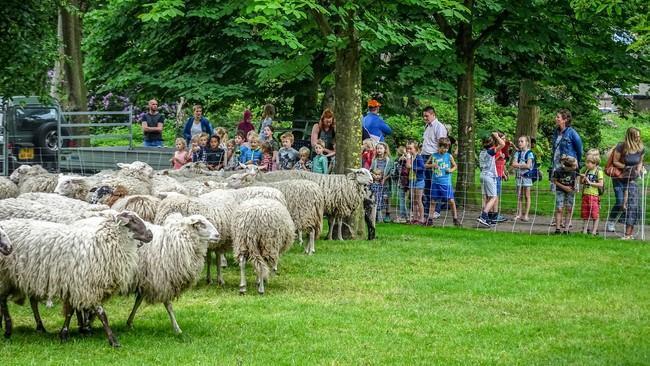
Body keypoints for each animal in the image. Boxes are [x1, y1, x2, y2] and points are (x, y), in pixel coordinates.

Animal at [0, 212, 153, 346]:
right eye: (133, 220)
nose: (150, 235)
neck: (102, 245)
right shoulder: (86, 286)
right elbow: (102, 314)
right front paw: (113, 340)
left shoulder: (75, 285)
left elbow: (70, 311)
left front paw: (65, 334)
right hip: (6, 277)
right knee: (3, 301)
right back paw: (8, 329)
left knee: (32, 302)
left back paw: (39, 327)